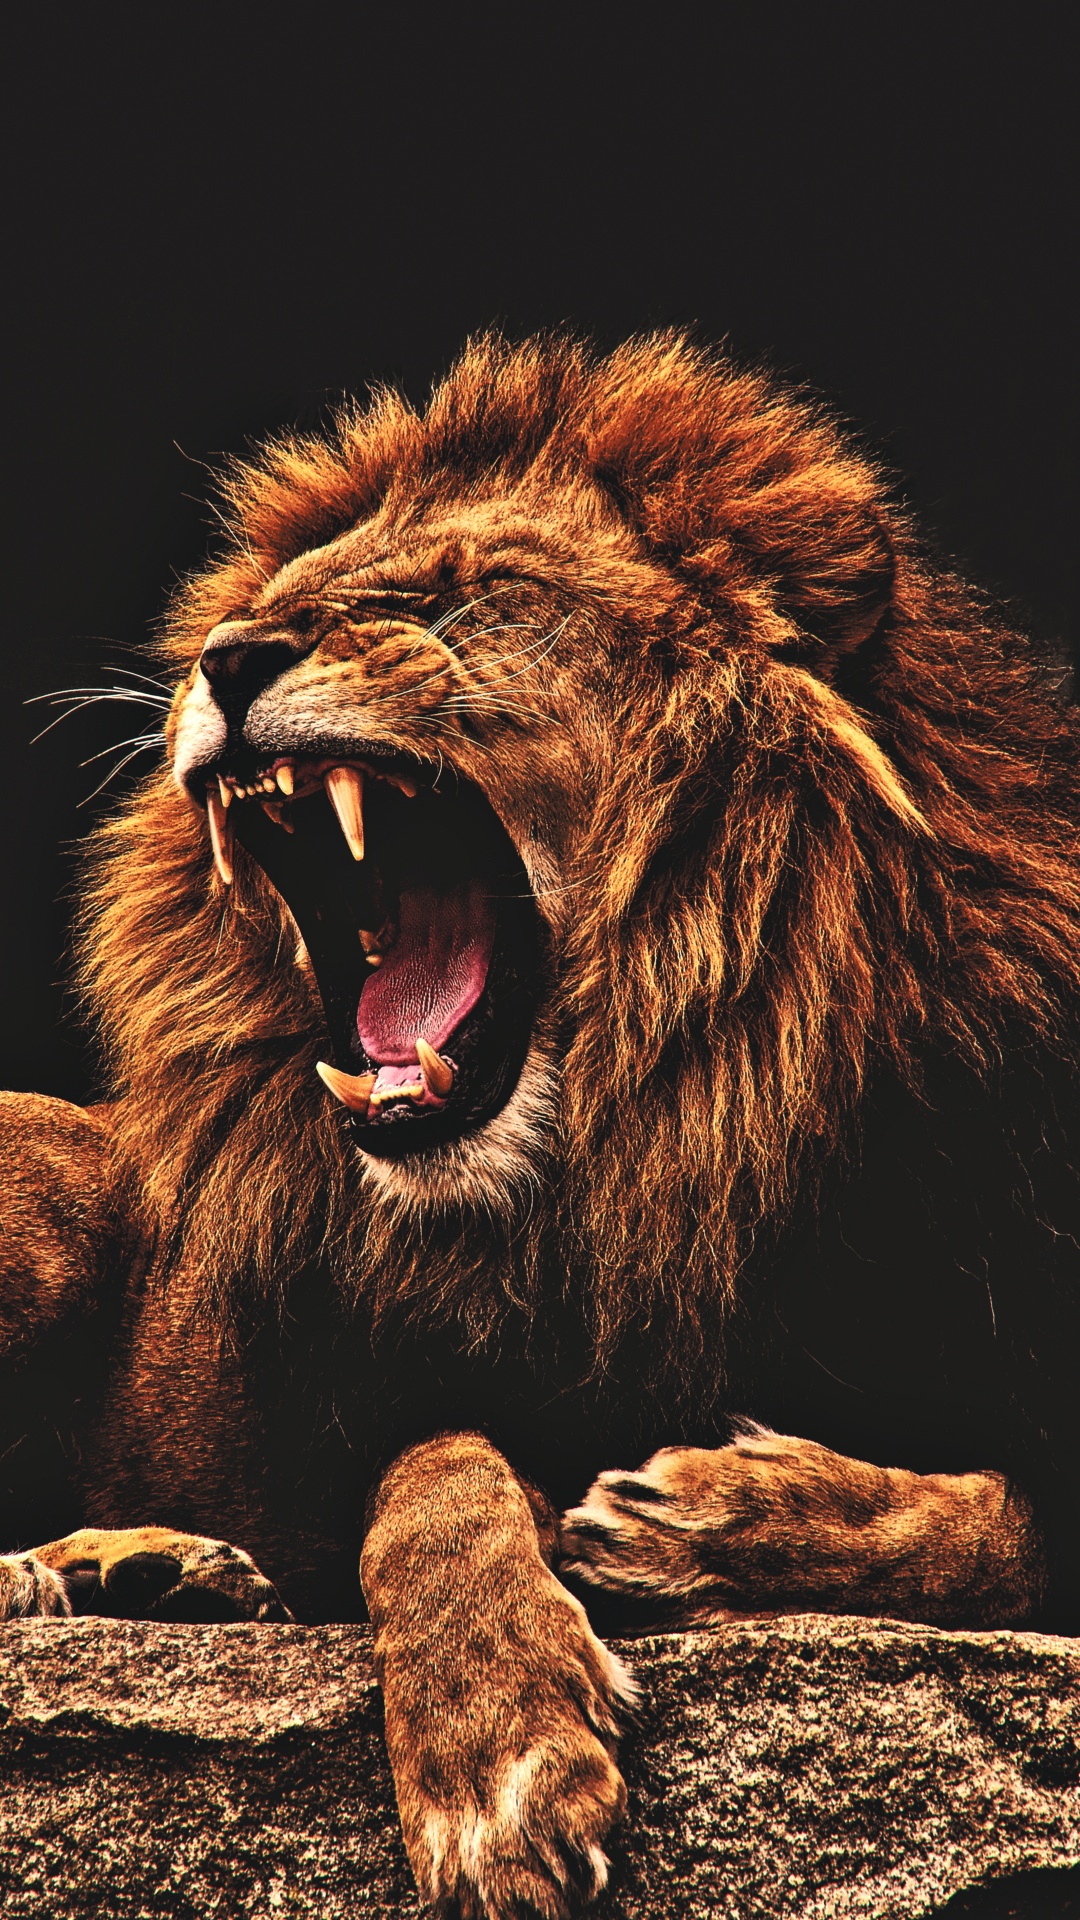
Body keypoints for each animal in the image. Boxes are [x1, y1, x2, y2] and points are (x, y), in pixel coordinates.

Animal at [2, 331, 1079, 1919]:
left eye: (475, 591)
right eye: (263, 610)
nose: (229, 659)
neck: (651, 1145)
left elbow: (1000, 1530)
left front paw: (708, 1519)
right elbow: (439, 1465)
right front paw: (498, 1758)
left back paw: (155, 1576)